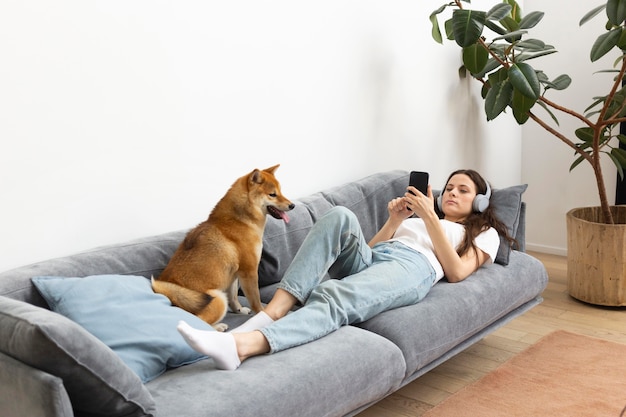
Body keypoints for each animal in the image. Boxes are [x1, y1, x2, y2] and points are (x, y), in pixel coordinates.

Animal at [154, 164, 294, 330]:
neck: (240, 220)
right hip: (218, 299)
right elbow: (256, 301)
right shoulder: (249, 272)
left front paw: (239, 309)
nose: (292, 205)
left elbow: (233, 297)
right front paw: (262, 312)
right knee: (198, 322)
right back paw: (218, 327)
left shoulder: (234, 275)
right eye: (272, 194)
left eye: (280, 191)